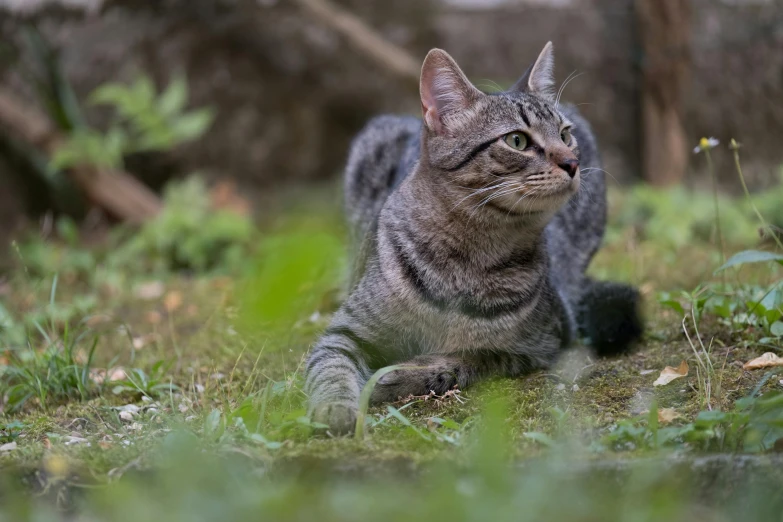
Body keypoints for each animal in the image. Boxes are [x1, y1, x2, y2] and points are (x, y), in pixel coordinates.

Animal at [304, 40, 640, 432]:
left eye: (564, 134)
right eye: (517, 140)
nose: (573, 162)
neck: (469, 256)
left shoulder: (542, 342)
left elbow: (467, 359)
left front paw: (400, 374)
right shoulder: (344, 332)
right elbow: (331, 368)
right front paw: (335, 407)